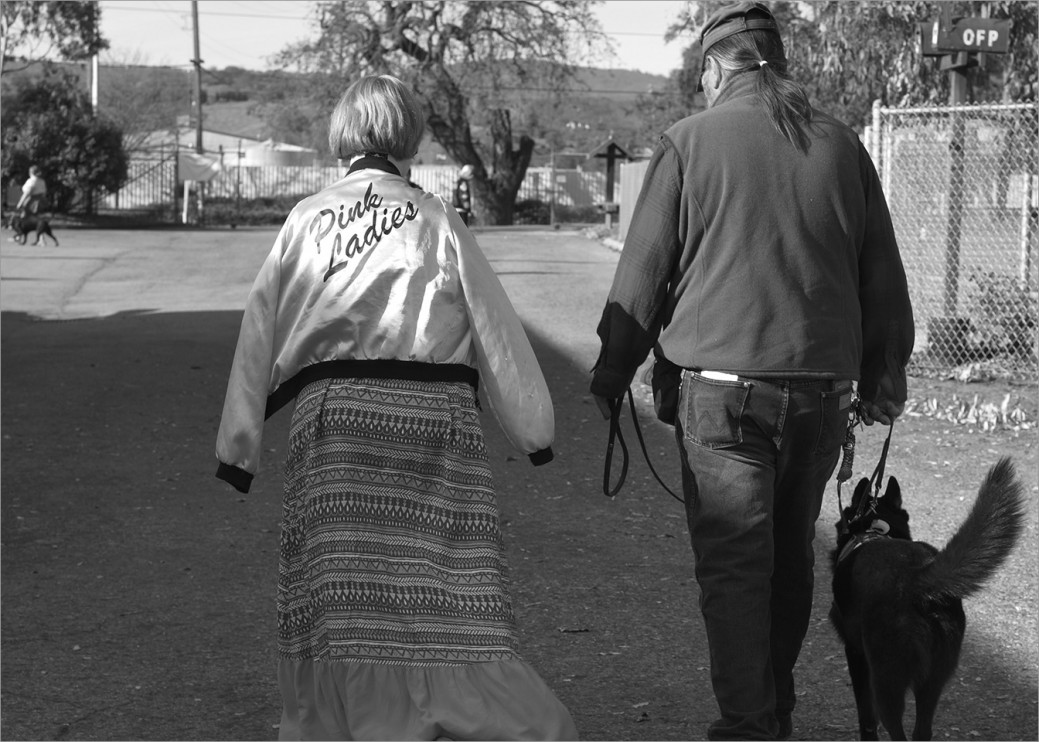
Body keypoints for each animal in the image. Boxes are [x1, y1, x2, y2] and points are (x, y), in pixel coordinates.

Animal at [831, 457, 1026, 739]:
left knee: (896, 729)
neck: (874, 528)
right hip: (932, 681)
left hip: (886, 681)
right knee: (922, 731)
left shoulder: (855, 653)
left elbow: (866, 717)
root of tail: (917, 577)